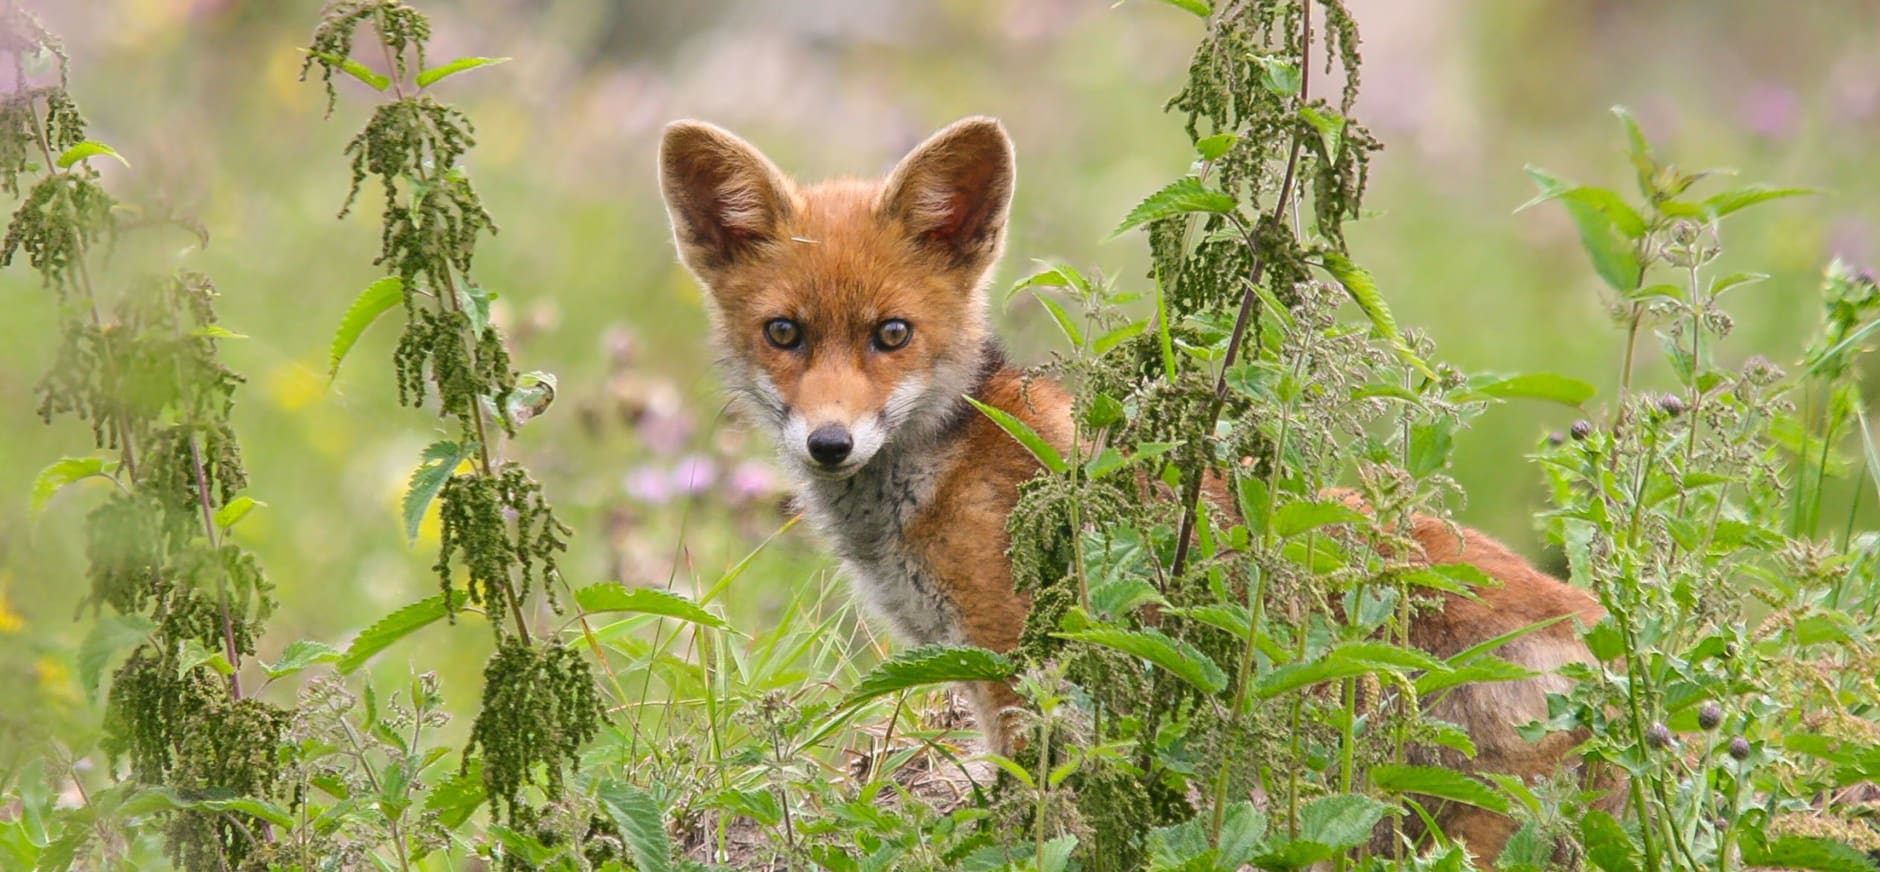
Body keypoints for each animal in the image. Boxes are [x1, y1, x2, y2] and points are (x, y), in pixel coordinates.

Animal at [658, 117, 1601, 864]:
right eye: (785, 332)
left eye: (892, 334)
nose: (829, 443)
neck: (945, 466)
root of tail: (1601, 634)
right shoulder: (969, 661)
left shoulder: (1016, 663)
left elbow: (1030, 815)